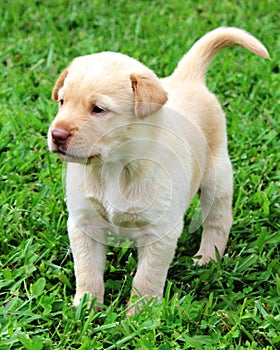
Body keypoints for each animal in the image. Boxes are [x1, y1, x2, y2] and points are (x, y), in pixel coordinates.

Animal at [48, 26, 270, 314]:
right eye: (62, 102)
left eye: (98, 109)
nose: (56, 134)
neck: (115, 167)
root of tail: (186, 78)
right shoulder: (83, 223)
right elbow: (87, 270)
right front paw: (85, 307)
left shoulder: (160, 230)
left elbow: (146, 277)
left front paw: (140, 315)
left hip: (217, 177)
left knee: (218, 220)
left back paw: (207, 258)